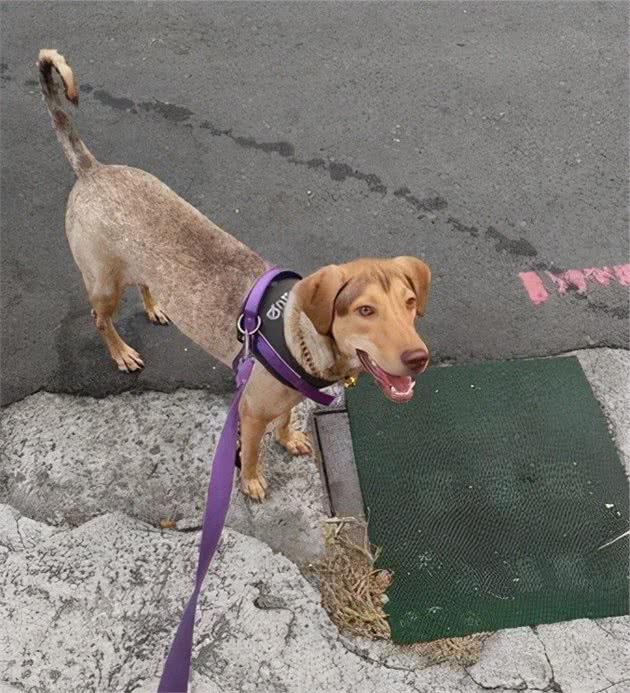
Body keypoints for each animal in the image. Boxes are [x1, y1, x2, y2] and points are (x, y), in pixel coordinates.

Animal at [39, 51, 432, 500]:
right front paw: (251, 480)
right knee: (100, 319)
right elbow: (254, 449)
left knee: (145, 283)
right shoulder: (250, 410)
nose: (419, 359)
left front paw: (289, 437)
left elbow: (286, 418)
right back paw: (121, 352)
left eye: (410, 304)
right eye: (366, 310)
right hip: (104, 284)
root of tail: (92, 169)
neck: (298, 337)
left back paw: (156, 307)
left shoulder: (289, 398)